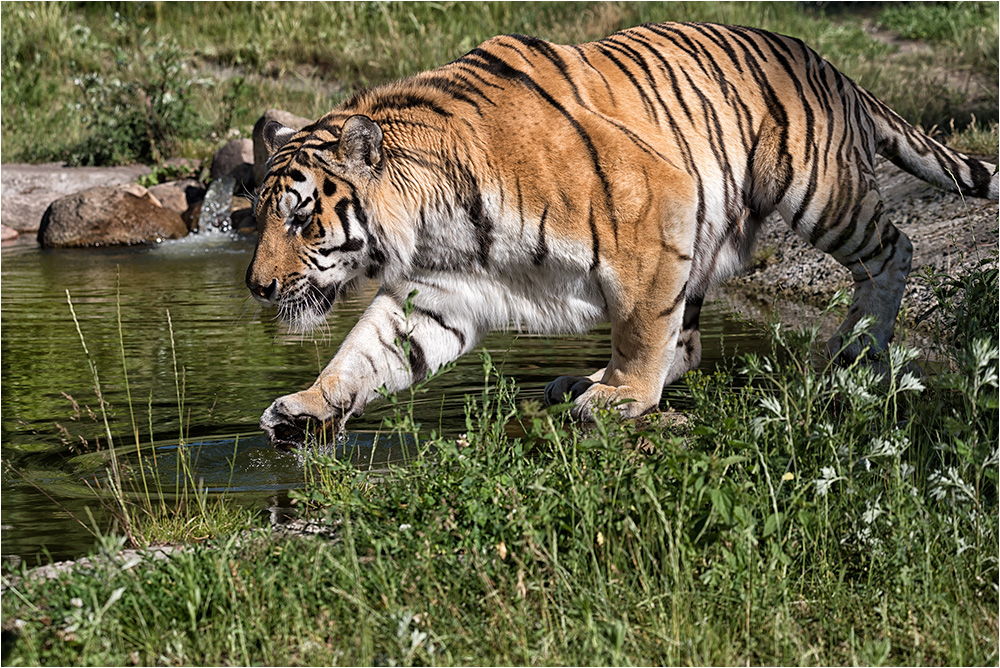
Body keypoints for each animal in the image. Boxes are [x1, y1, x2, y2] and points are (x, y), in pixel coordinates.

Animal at [246, 22, 996, 448]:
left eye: (301, 217)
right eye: (260, 215)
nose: (256, 287)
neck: (437, 221)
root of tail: (829, 65)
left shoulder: (654, 212)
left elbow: (640, 325)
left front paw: (624, 398)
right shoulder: (438, 292)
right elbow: (365, 353)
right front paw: (306, 407)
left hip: (816, 190)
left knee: (893, 250)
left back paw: (857, 351)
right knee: (688, 341)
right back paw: (582, 380)